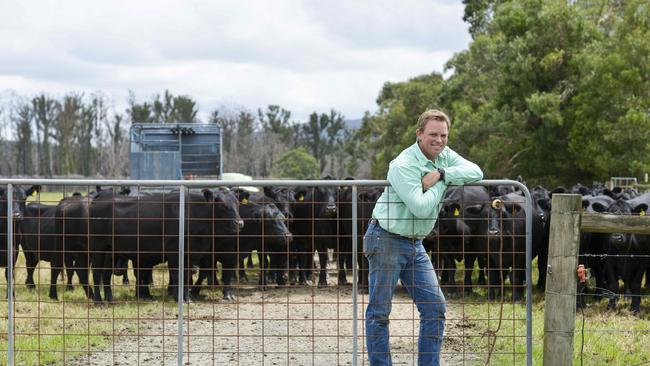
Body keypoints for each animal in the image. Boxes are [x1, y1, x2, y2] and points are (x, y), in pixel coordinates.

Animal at [89, 187, 243, 302]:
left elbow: (186, 275)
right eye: (221, 205)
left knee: (106, 274)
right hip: (97, 247)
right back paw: (98, 300)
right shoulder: (174, 252)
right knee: (96, 273)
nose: (239, 223)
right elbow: (177, 275)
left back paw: (110, 299)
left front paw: (187, 297)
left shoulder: (191, 254)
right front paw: (180, 298)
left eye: (237, 203)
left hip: (110, 250)